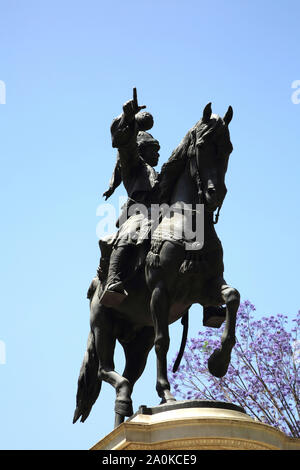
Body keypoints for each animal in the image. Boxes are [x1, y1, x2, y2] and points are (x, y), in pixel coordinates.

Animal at [74, 104, 240, 428]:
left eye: (228, 148)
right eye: (203, 145)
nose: (216, 194)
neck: (190, 225)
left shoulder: (207, 287)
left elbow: (232, 296)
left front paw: (218, 362)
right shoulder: (160, 292)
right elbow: (165, 341)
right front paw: (167, 394)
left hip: (139, 339)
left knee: (128, 376)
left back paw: (125, 412)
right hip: (103, 324)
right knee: (105, 370)